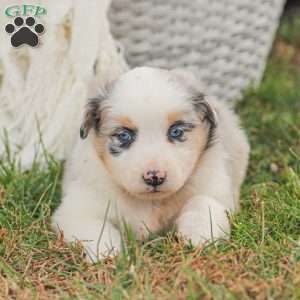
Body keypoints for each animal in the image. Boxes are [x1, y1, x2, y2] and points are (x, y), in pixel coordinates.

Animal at [51, 67, 248, 262]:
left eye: (176, 131)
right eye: (124, 135)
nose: (154, 177)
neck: (152, 203)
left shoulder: (216, 188)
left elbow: (203, 201)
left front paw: (200, 238)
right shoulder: (77, 208)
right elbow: (95, 228)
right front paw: (107, 255)